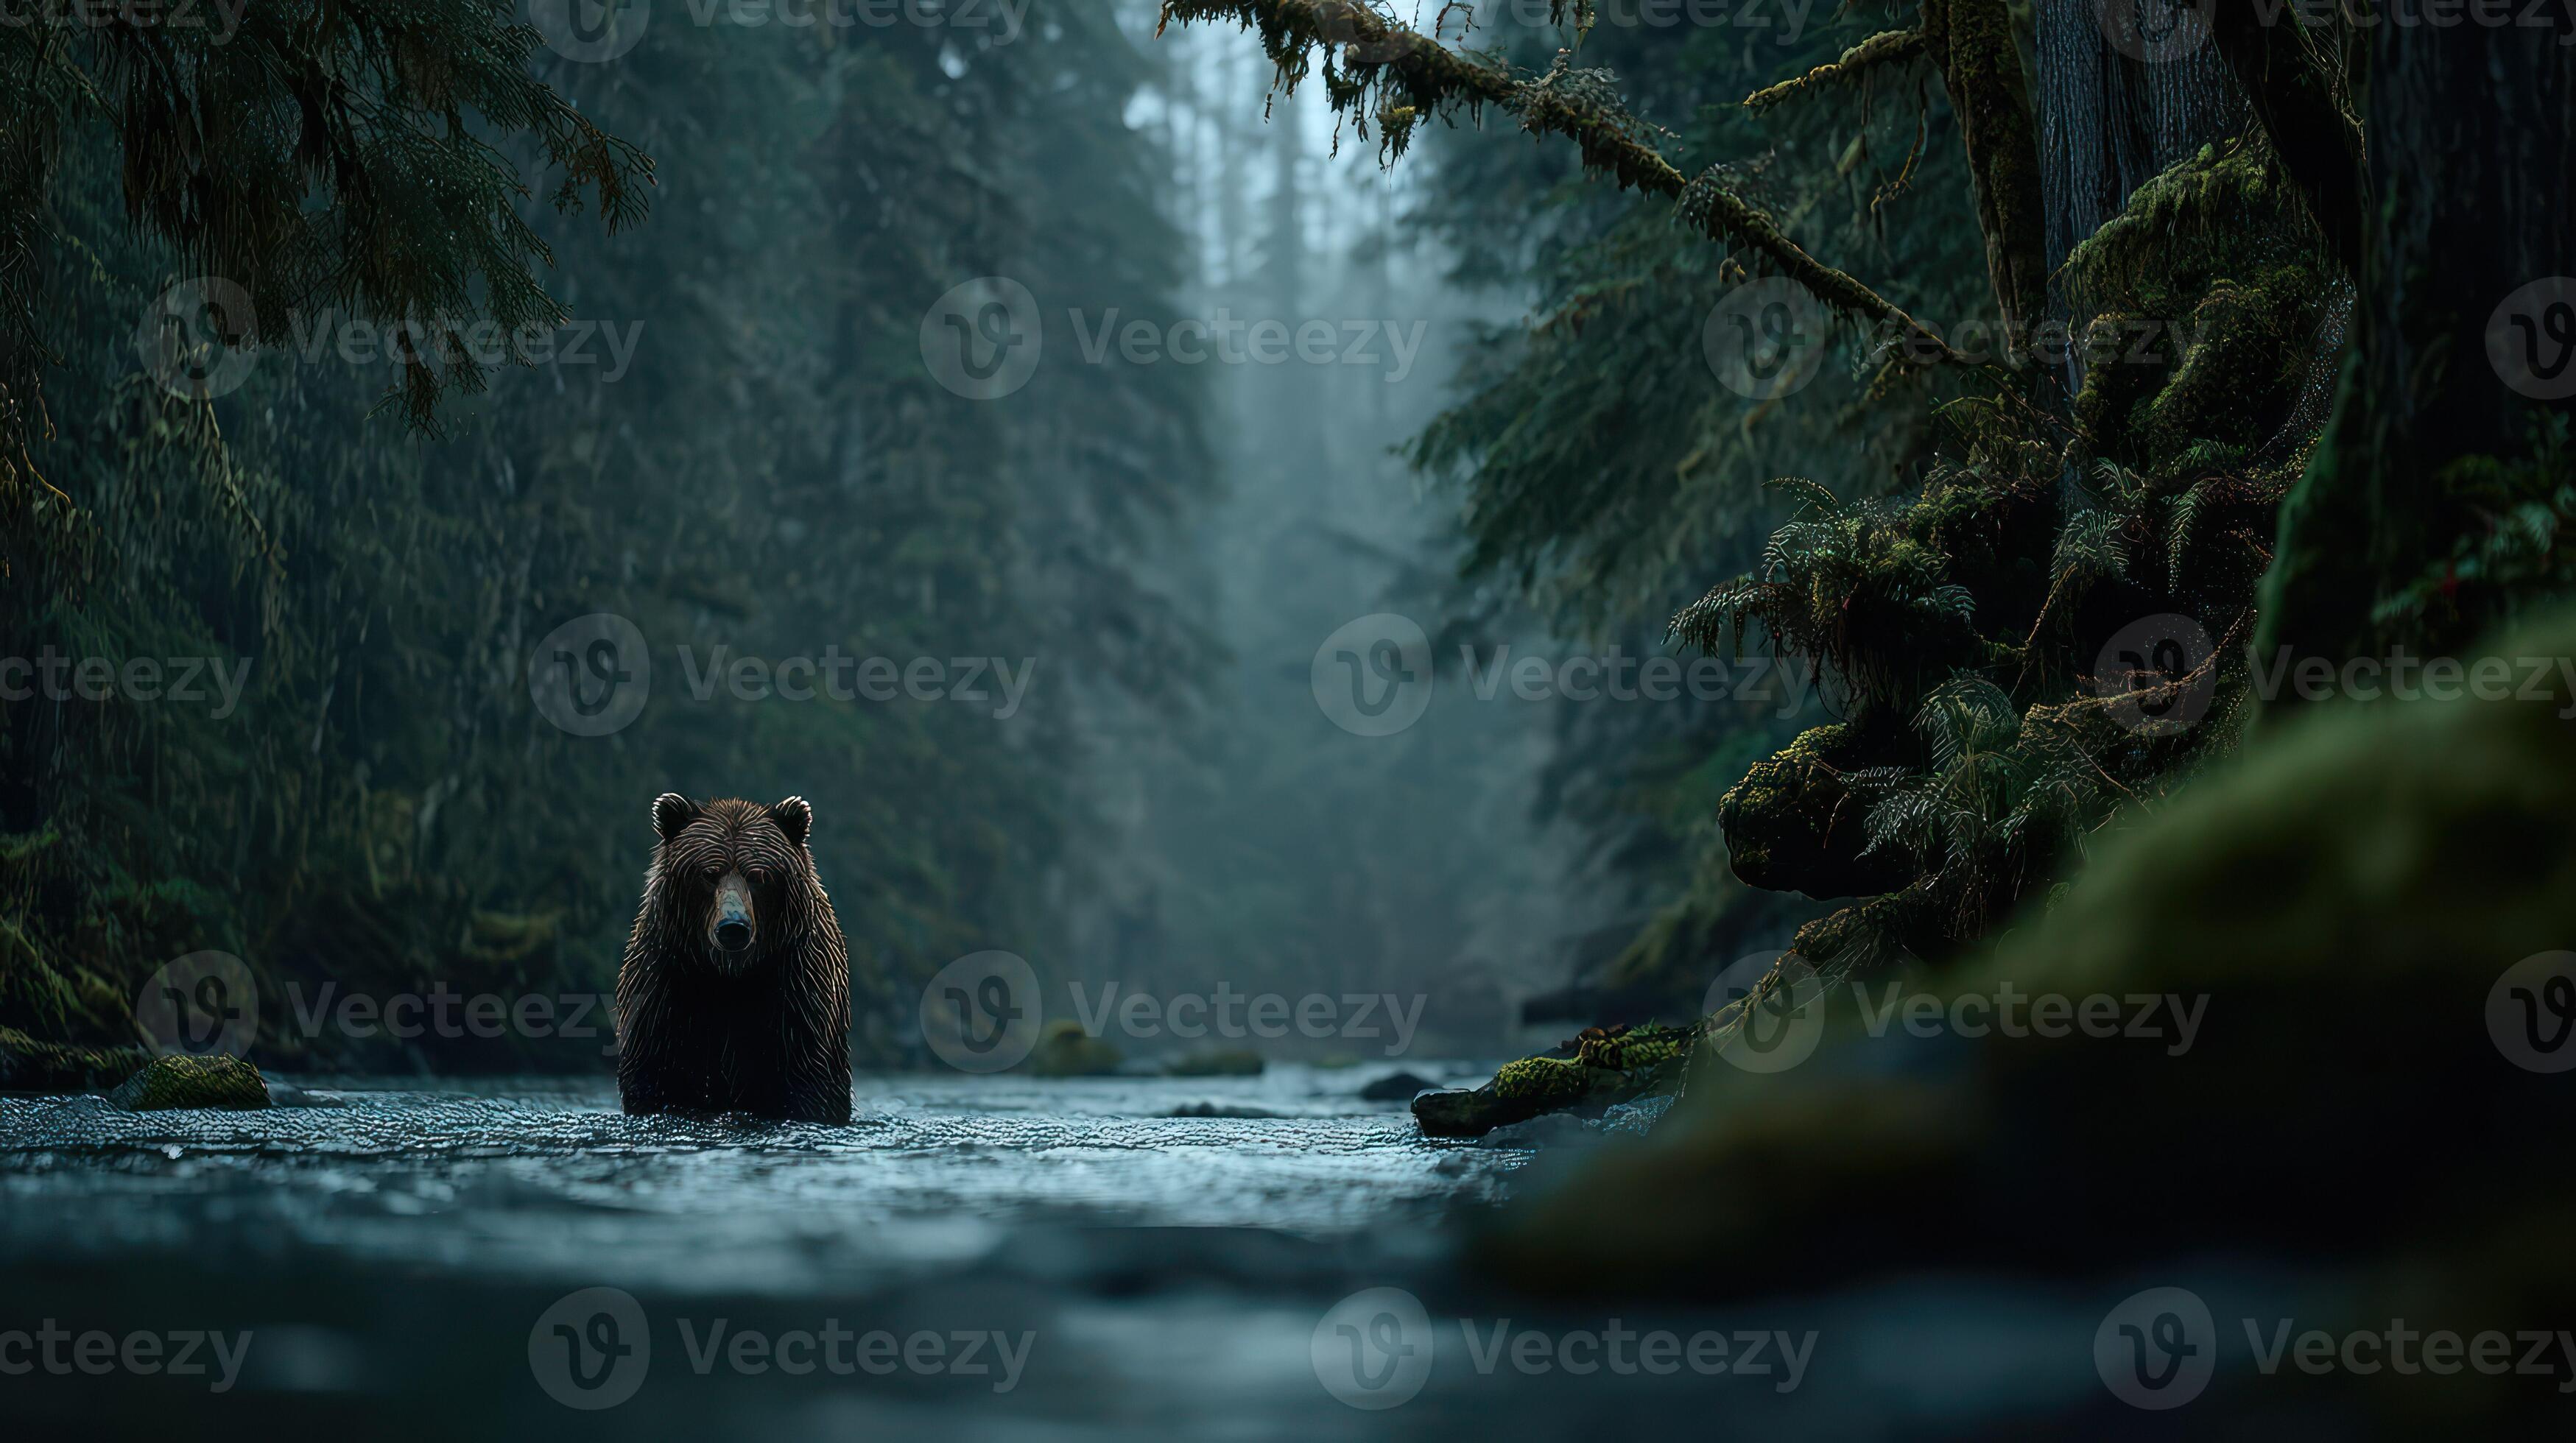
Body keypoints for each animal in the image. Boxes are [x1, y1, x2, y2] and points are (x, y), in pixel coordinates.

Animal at [616, 793, 852, 1123]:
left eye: (758, 875)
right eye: (708, 873)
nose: (733, 926)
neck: (730, 976)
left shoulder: (798, 994)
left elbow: (808, 1082)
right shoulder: (664, 989)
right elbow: (654, 1077)